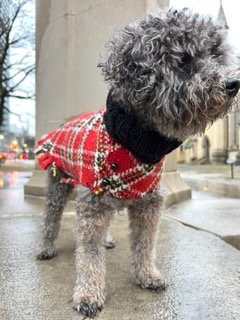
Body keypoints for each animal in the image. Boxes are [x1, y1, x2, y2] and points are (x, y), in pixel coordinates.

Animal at [35, 9, 240, 318]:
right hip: (59, 183)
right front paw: (88, 293)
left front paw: (147, 275)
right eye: (184, 59)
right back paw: (46, 246)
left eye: (216, 54)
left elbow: (145, 243)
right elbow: (89, 253)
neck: (134, 143)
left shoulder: (148, 202)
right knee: (51, 217)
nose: (233, 83)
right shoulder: (92, 202)